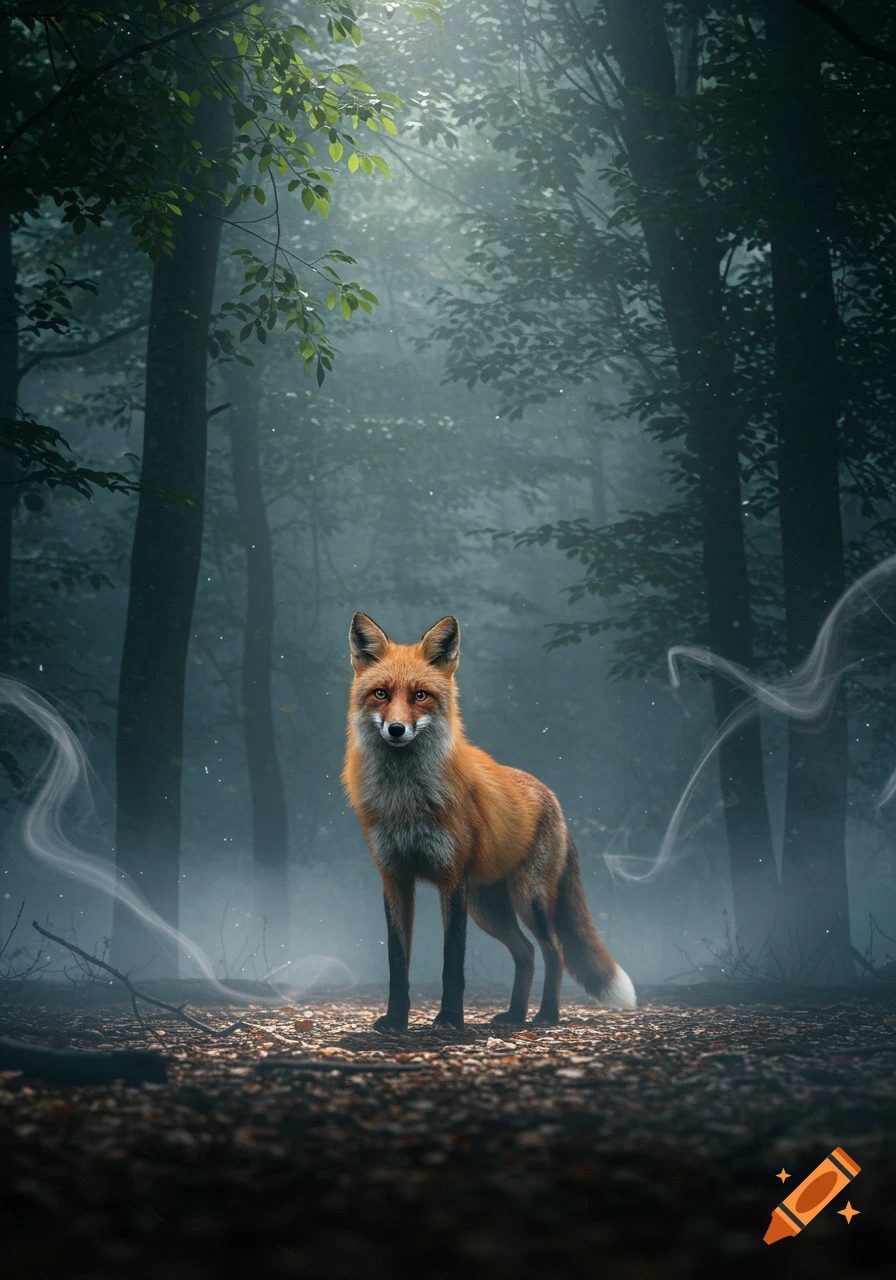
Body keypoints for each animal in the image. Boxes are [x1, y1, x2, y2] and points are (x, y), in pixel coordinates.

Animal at [341, 612, 636, 1031]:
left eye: (420, 695)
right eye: (381, 693)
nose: (396, 729)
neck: (407, 801)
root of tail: (552, 796)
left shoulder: (451, 878)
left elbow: (452, 960)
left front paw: (450, 1018)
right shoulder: (394, 876)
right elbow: (397, 962)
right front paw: (395, 1019)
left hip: (527, 898)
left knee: (554, 951)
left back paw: (546, 1015)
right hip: (488, 908)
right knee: (526, 952)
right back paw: (514, 1015)